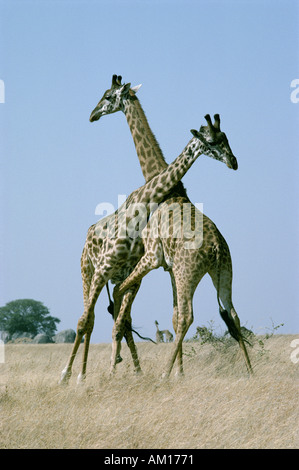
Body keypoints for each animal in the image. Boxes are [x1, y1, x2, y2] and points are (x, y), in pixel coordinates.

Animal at [59, 118, 234, 386]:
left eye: (226, 138)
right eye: (213, 141)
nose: (233, 161)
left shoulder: (139, 273)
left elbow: (123, 321)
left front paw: (122, 368)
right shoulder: (110, 269)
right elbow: (87, 321)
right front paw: (69, 375)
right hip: (87, 270)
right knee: (88, 319)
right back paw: (79, 373)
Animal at [89, 75, 253, 376]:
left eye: (107, 97)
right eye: (218, 139)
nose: (92, 115)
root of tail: (216, 251)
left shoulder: (154, 257)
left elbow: (125, 296)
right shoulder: (168, 268)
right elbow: (173, 316)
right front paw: (180, 372)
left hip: (188, 272)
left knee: (189, 315)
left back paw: (163, 374)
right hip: (224, 273)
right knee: (233, 314)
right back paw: (249, 371)